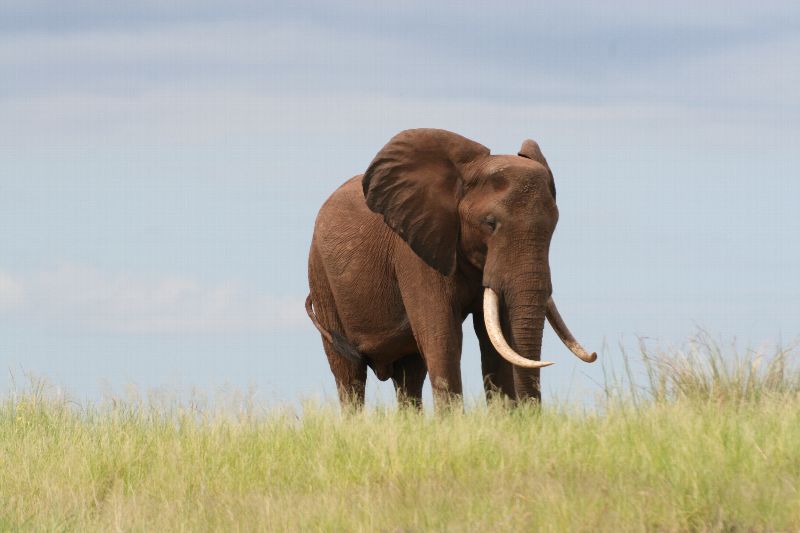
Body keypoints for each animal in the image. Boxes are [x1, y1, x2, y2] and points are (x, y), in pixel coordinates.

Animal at [306, 127, 592, 410]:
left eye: (553, 225)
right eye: (490, 223)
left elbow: (495, 340)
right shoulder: (415, 249)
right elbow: (443, 337)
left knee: (410, 375)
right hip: (320, 276)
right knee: (349, 374)